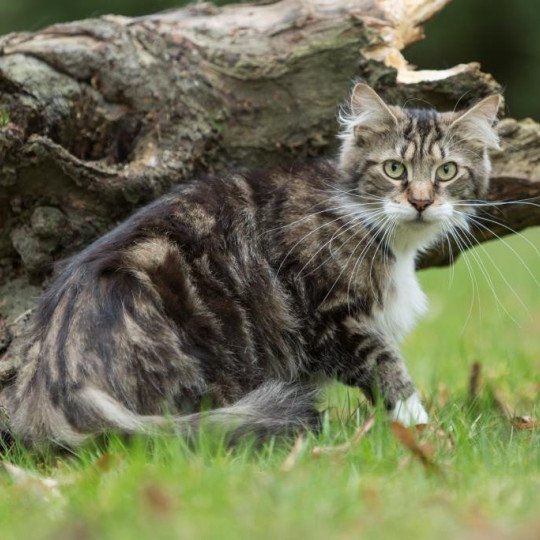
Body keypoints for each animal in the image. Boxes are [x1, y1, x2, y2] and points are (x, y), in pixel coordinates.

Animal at [0, 84, 500, 448]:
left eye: (447, 172)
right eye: (395, 169)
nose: (421, 201)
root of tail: (54, 379)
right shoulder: (334, 317)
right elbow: (391, 373)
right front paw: (425, 431)